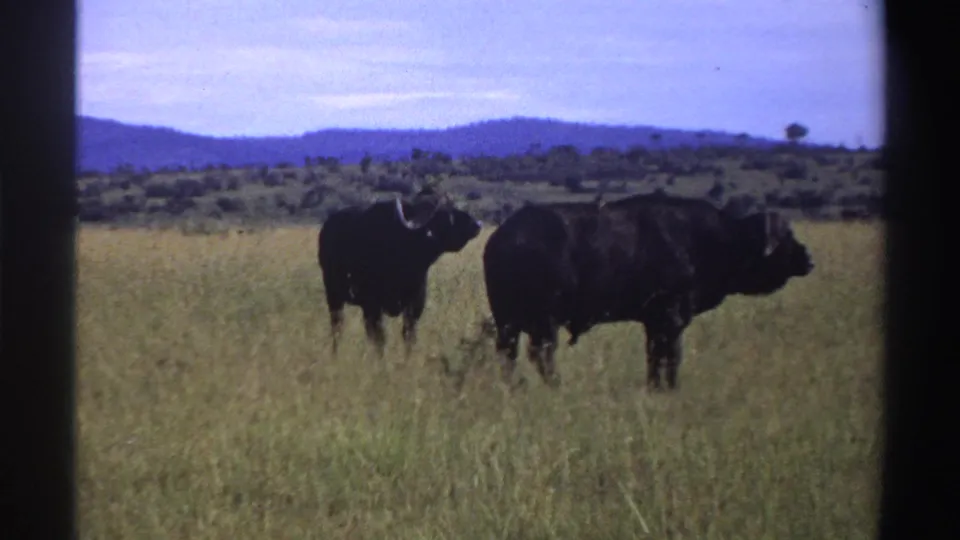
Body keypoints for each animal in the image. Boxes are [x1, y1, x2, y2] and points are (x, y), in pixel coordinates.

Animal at [318, 187, 483, 356]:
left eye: (452, 205)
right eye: (444, 213)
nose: (476, 224)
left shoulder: (415, 305)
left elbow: (409, 336)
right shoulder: (372, 306)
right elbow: (380, 339)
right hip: (334, 297)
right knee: (337, 327)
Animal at [482, 192, 815, 390]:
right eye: (786, 237)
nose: (808, 260)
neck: (716, 240)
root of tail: (503, 237)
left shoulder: (654, 323)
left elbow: (654, 357)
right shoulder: (671, 319)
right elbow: (671, 356)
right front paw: (669, 388)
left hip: (508, 322)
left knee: (509, 354)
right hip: (544, 321)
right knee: (542, 355)